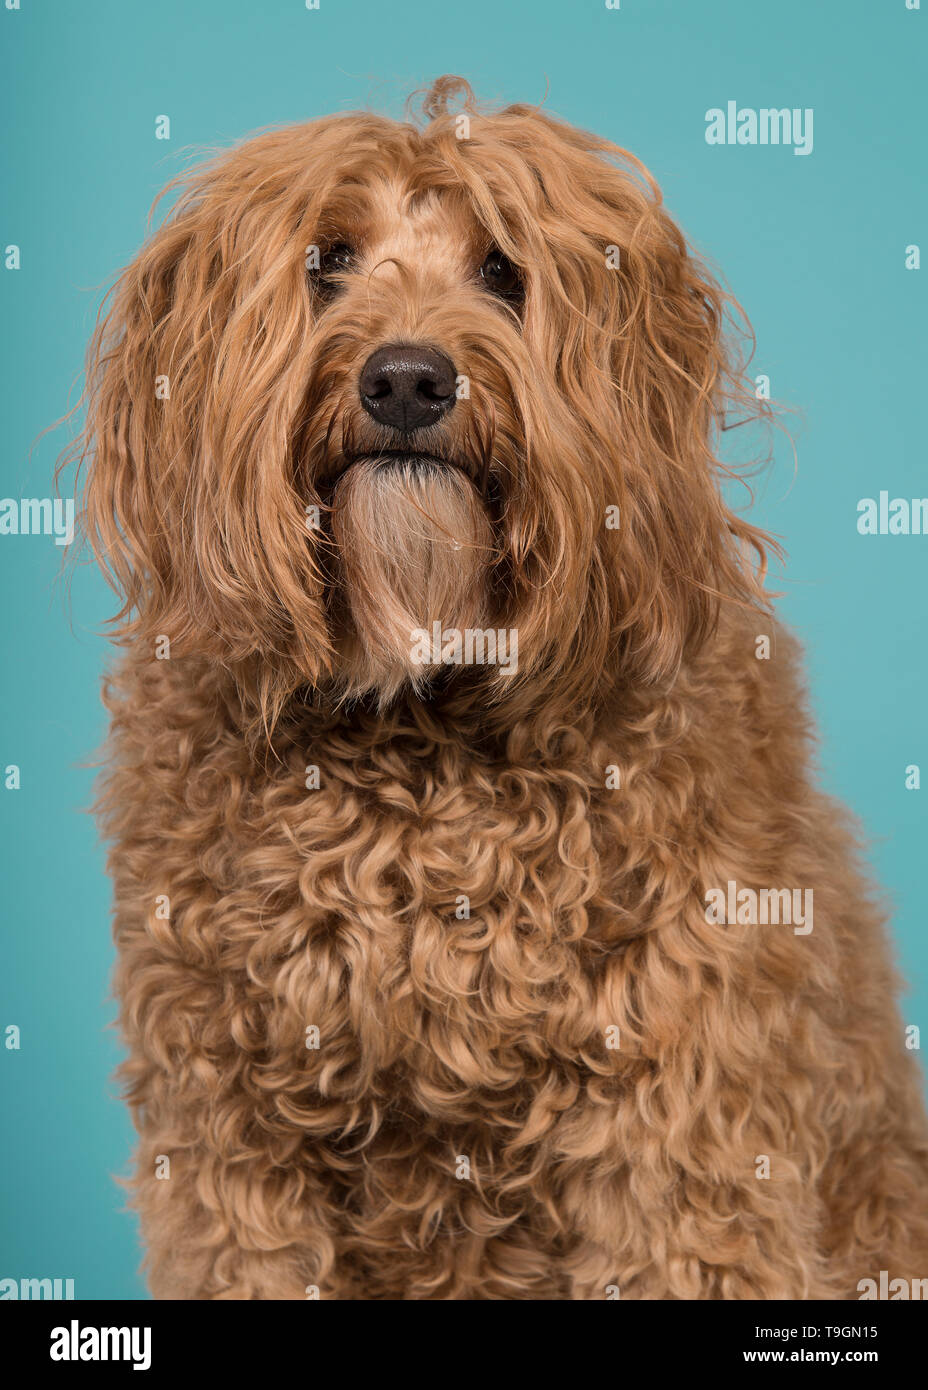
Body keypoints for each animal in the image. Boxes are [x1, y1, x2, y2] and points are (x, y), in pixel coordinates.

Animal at [72, 73, 928, 1289]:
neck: (425, 707)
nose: (406, 377)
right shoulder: (230, 1143)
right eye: (328, 260)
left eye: (503, 272)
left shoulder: (679, 1128)